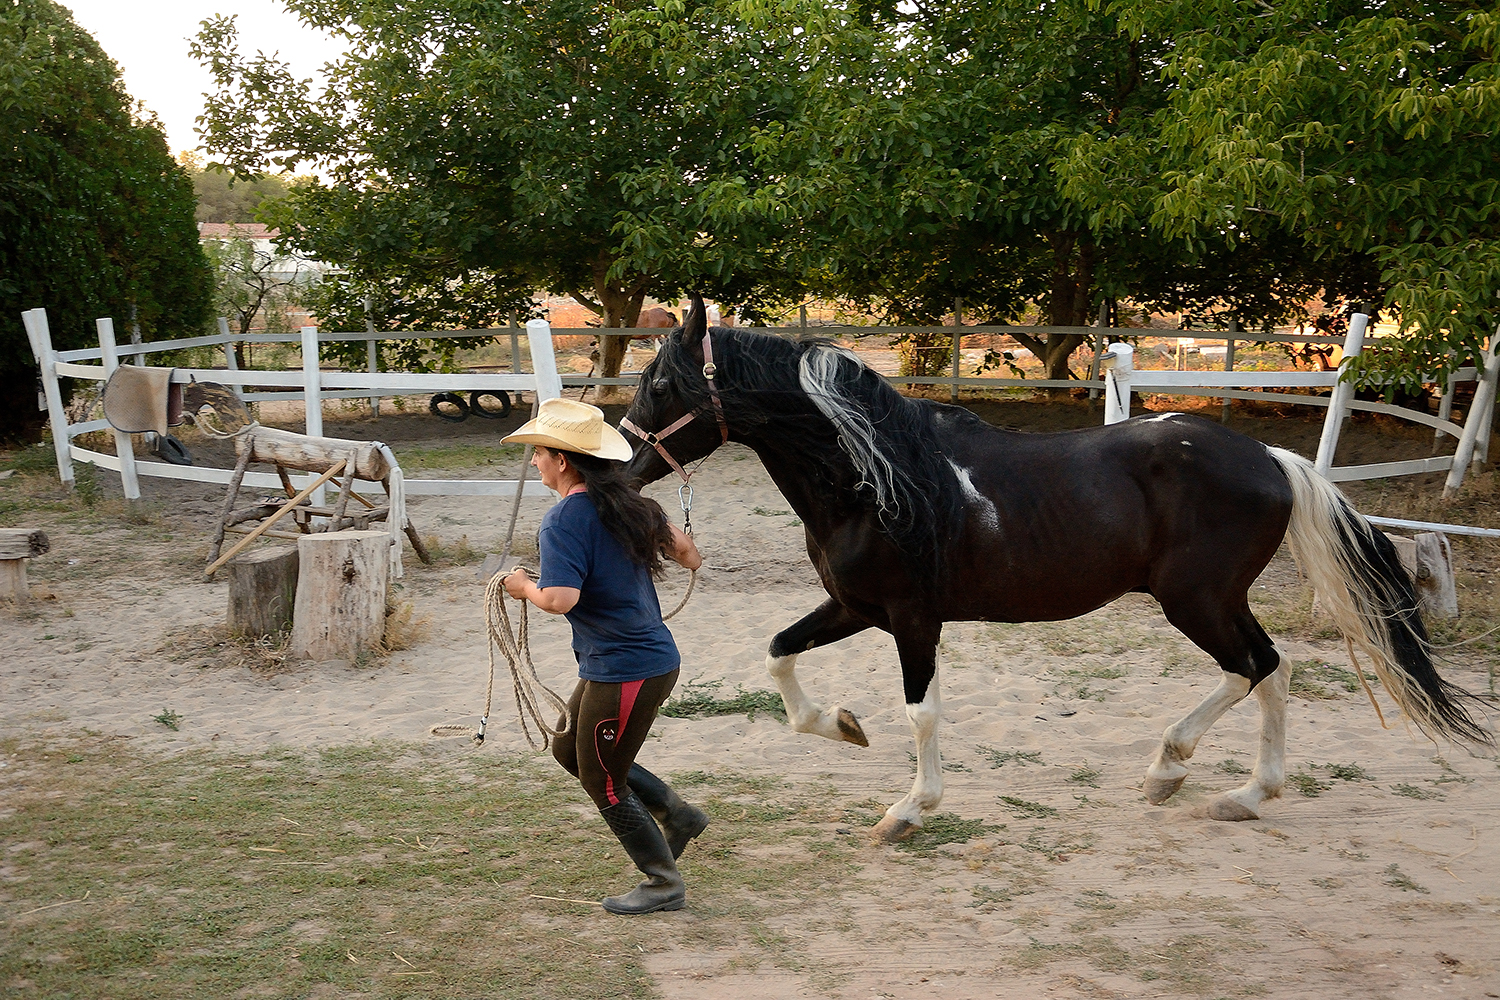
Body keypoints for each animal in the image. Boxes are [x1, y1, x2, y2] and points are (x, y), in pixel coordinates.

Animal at [621, 299, 1488, 845]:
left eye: (661, 383)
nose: (616, 467)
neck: (875, 479)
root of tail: (1273, 458)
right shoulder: (854, 606)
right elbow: (777, 655)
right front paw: (843, 726)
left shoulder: (911, 619)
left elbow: (922, 715)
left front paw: (907, 811)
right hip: (1215, 599)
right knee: (1272, 669)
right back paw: (1235, 794)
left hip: (1194, 601)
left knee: (1253, 667)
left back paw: (1172, 770)